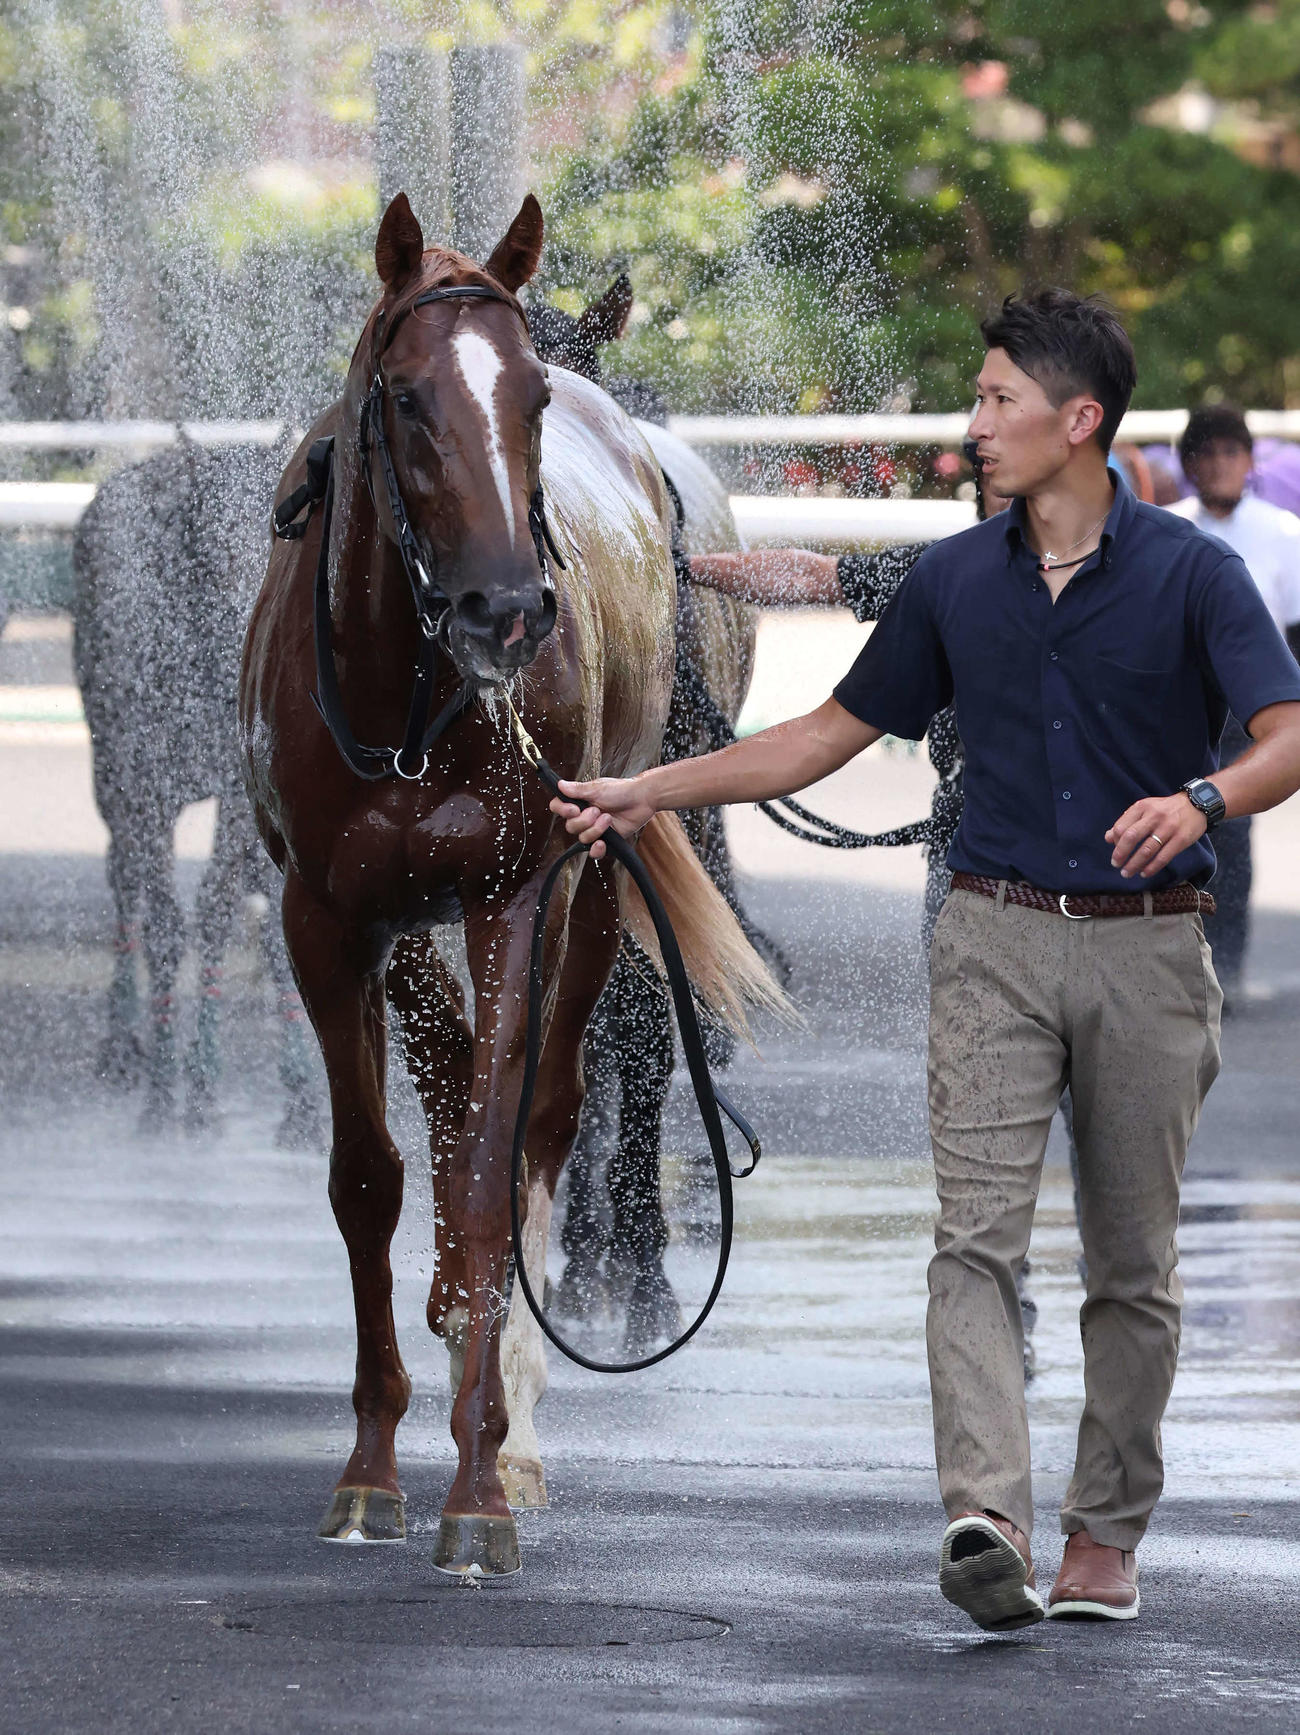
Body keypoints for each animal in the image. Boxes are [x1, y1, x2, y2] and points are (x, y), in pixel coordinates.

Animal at [239, 191, 783, 1576]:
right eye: (406, 398)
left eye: (529, 395)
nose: (507, 607)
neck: (407, 693)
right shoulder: (328, 919)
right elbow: (371, 1176)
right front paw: (371, 1467)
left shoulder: (513, 896)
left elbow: (491, 1167)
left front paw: (479, 1481)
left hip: (594, 883)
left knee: (547, 1111)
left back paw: (518, 1415)